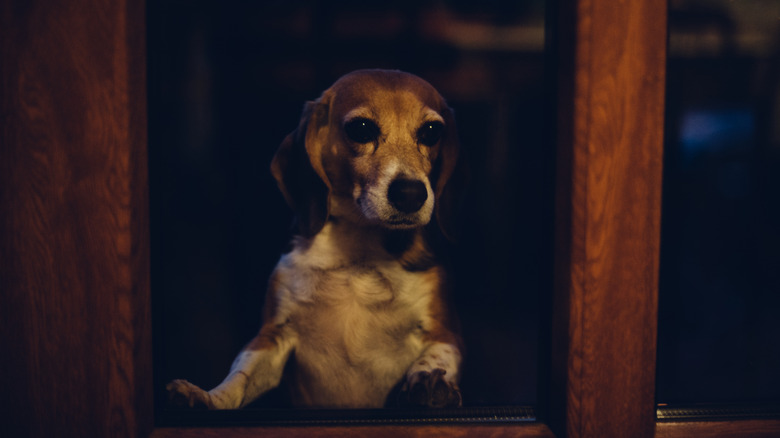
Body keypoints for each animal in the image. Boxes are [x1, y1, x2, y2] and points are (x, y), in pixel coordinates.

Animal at [166, 69, 464, 410]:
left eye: (431, 131)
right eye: (361, 128)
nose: (411, 194)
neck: (359, 255)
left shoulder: (444, 333)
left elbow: (437, 357)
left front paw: (428, 384)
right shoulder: (272, 337)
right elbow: (239, 378)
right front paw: (206, 397)